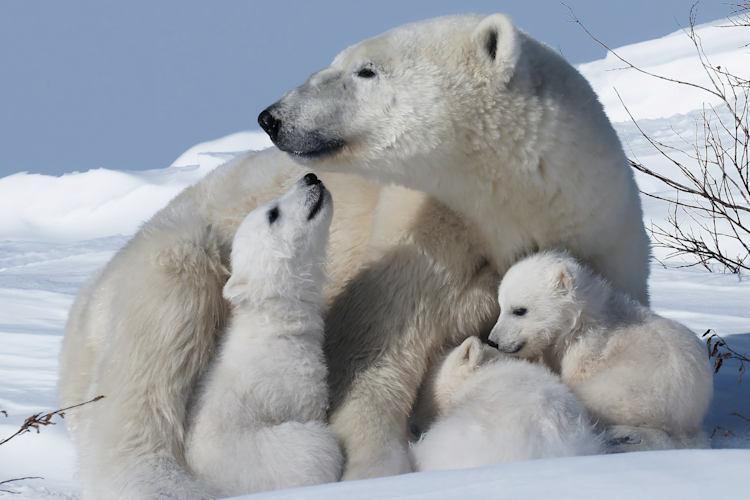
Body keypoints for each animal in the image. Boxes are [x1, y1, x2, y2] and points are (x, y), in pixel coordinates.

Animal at [487, 250, 713, 451]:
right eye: (501, 306)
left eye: (519, 310)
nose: (493, 341)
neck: (582, 320)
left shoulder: (587, 349)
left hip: (629, 390)